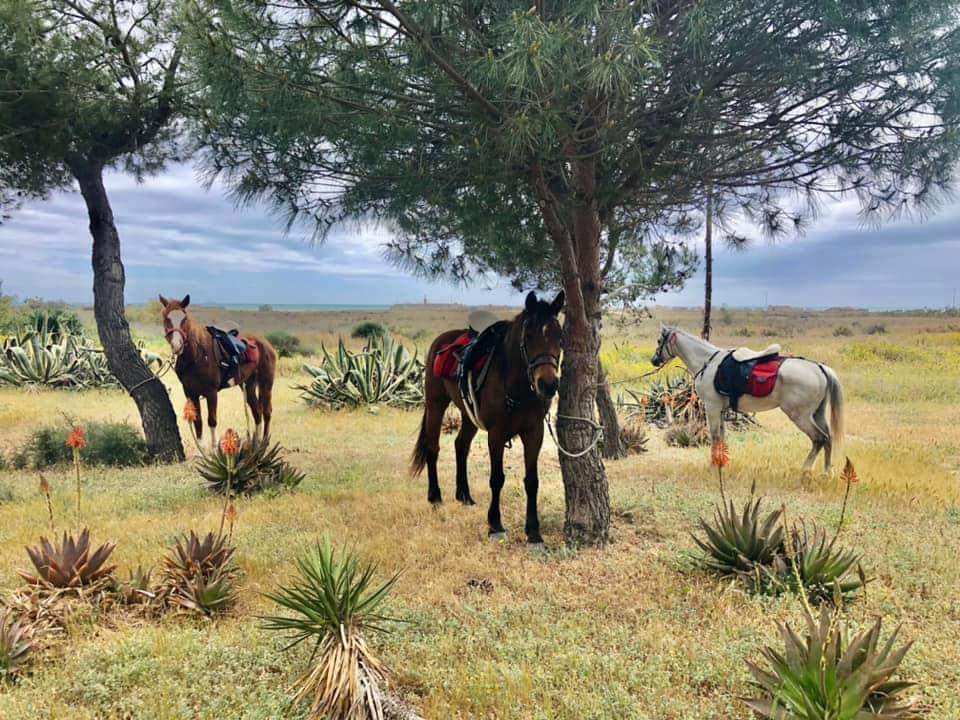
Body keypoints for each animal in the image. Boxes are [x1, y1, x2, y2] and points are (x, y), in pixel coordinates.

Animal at [159, 294, 277, 447]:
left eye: (185, 319)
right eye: (166, 318)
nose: (177, 345)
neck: (198, 355)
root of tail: (265, 343)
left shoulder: (211, 392)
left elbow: (212, 421)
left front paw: (214, 449)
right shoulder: (190, 393)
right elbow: (198, 422)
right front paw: (202, 450)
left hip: (265, 384)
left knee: (267, 412)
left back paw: (264, 442)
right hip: (248, 385)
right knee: (257, 412)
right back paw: (255, 444)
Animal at [411, 291, 564, 544]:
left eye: (559, 336)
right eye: (528, 336)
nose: (548, 384)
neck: (517, 386)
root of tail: (441, 340)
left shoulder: (535, 433)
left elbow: (532, 481)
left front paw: (533, 530)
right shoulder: (496, 434)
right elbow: (497, 478)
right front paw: (495, 524)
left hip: (468, 416)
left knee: (460, 445)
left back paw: (464, 495)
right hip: (436, 404)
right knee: (433, 447)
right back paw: (435, 497)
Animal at [651, 326, 845, 472]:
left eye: (659, 341)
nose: (654, 360)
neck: (707, 363)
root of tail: (819, 367)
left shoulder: (712, 407)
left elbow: (715, 436)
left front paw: (713, 466)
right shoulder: (721, 410)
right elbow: (722, 436)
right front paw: (722, 463)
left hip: (800, 416)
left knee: (819, 439)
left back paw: (805, 470)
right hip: (817, 414)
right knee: (828, 438)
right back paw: (827, 472)